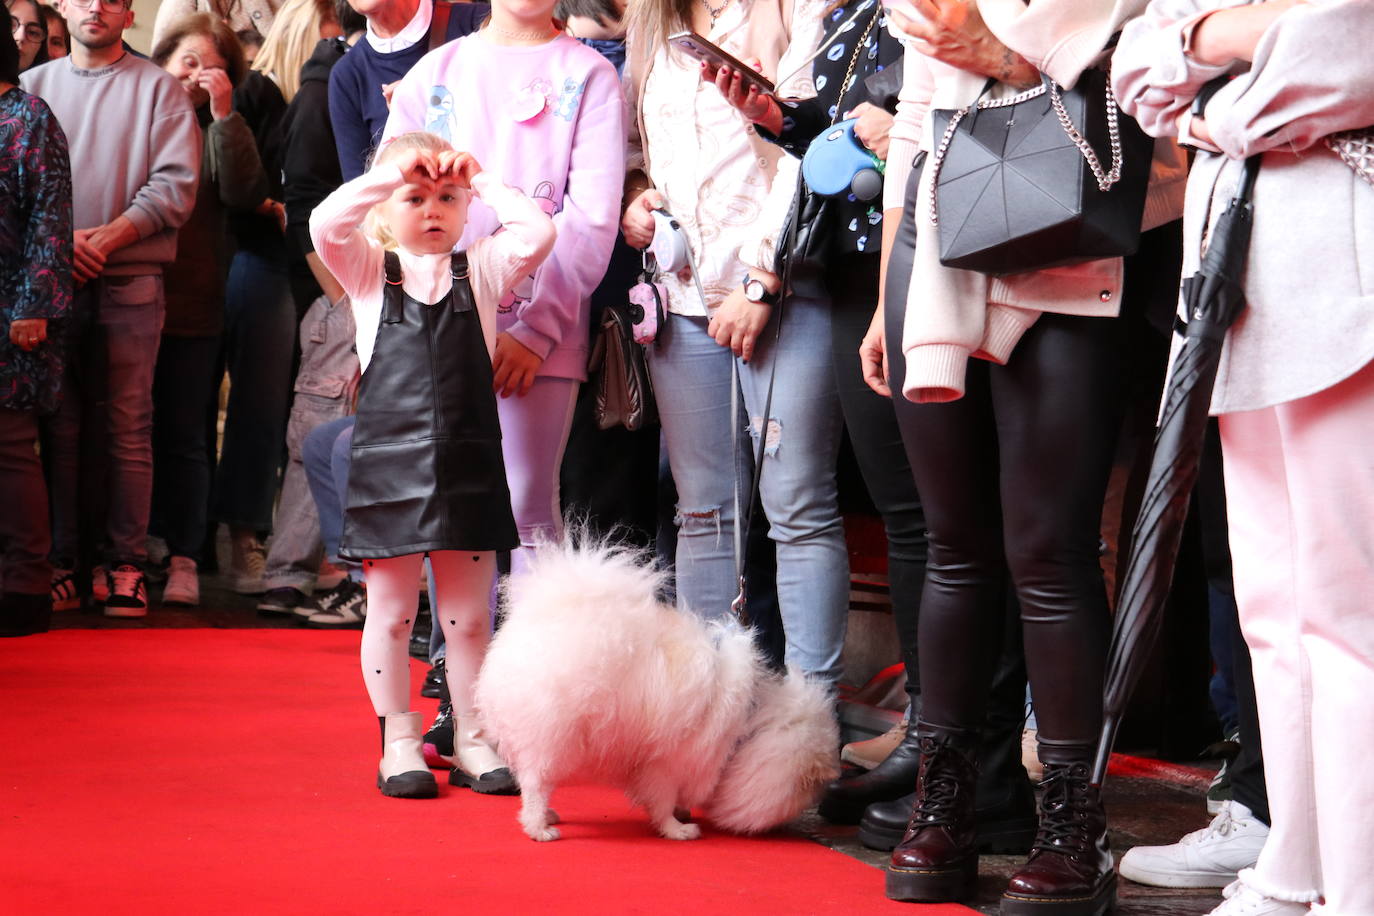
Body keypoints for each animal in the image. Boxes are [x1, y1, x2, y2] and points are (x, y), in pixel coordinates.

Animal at [472, 538, 835, 845]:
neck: (750, 721)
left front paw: (681, 815)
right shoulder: (666, 762)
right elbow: (662, 801)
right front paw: (678, 829)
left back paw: (547, 815)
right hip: (554, 737)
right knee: (536, 783)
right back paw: (539, 828)